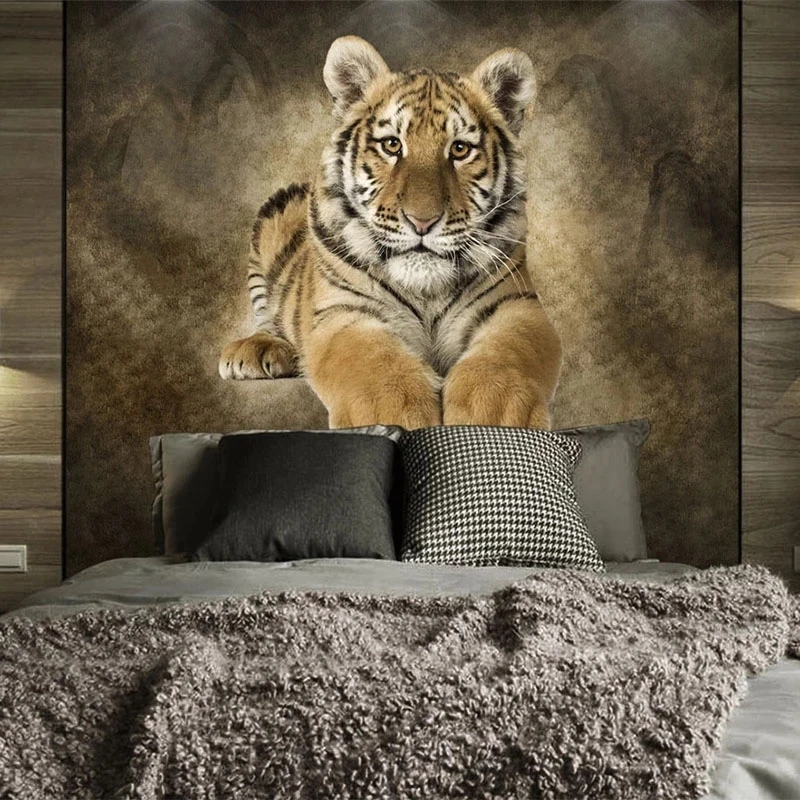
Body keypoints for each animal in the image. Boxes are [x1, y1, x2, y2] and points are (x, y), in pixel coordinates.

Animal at [219, 36, 562, 430]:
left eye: (460, 149)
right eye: (392, 145)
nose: (422, 222)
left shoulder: (516, 305)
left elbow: (506, 352)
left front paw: (492, 415)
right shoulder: (344, 312)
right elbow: (372, 360)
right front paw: (395, 412)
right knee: (268, 316)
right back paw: (255, 351)